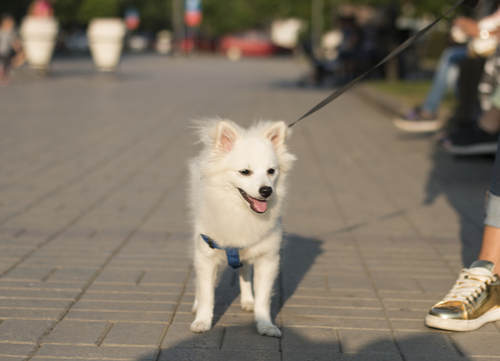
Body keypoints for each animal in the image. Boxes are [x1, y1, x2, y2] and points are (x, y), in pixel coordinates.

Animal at [189, 119, 294, 336]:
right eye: (245, 172)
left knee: (244, 272)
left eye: (271, 171)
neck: (242, 213)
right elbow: (207, 294)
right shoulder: (206, 255)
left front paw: (265, 325)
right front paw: (202, 321)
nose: (267, 190)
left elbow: (263, 298)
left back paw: (247, 301)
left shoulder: (268, 259)